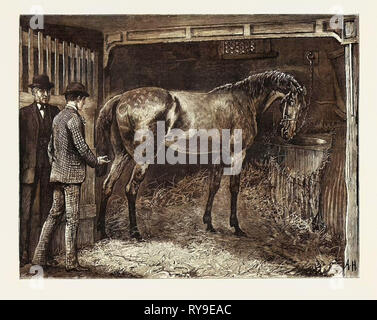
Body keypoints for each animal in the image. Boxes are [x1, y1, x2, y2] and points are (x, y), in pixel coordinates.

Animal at [94, 70, 306, 240]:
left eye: (301, 105)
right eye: (290, 100)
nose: (287, 132)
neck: (244, 102)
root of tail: (121, 98)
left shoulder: (219, 155)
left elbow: (214, 185)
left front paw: (209, 223)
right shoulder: (237, 155)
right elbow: (234, 187)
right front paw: (236, 227)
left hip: (122, 155)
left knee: (107, 186)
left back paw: (102, 231)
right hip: (143, 157)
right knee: (131, 189)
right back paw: (135, 232)